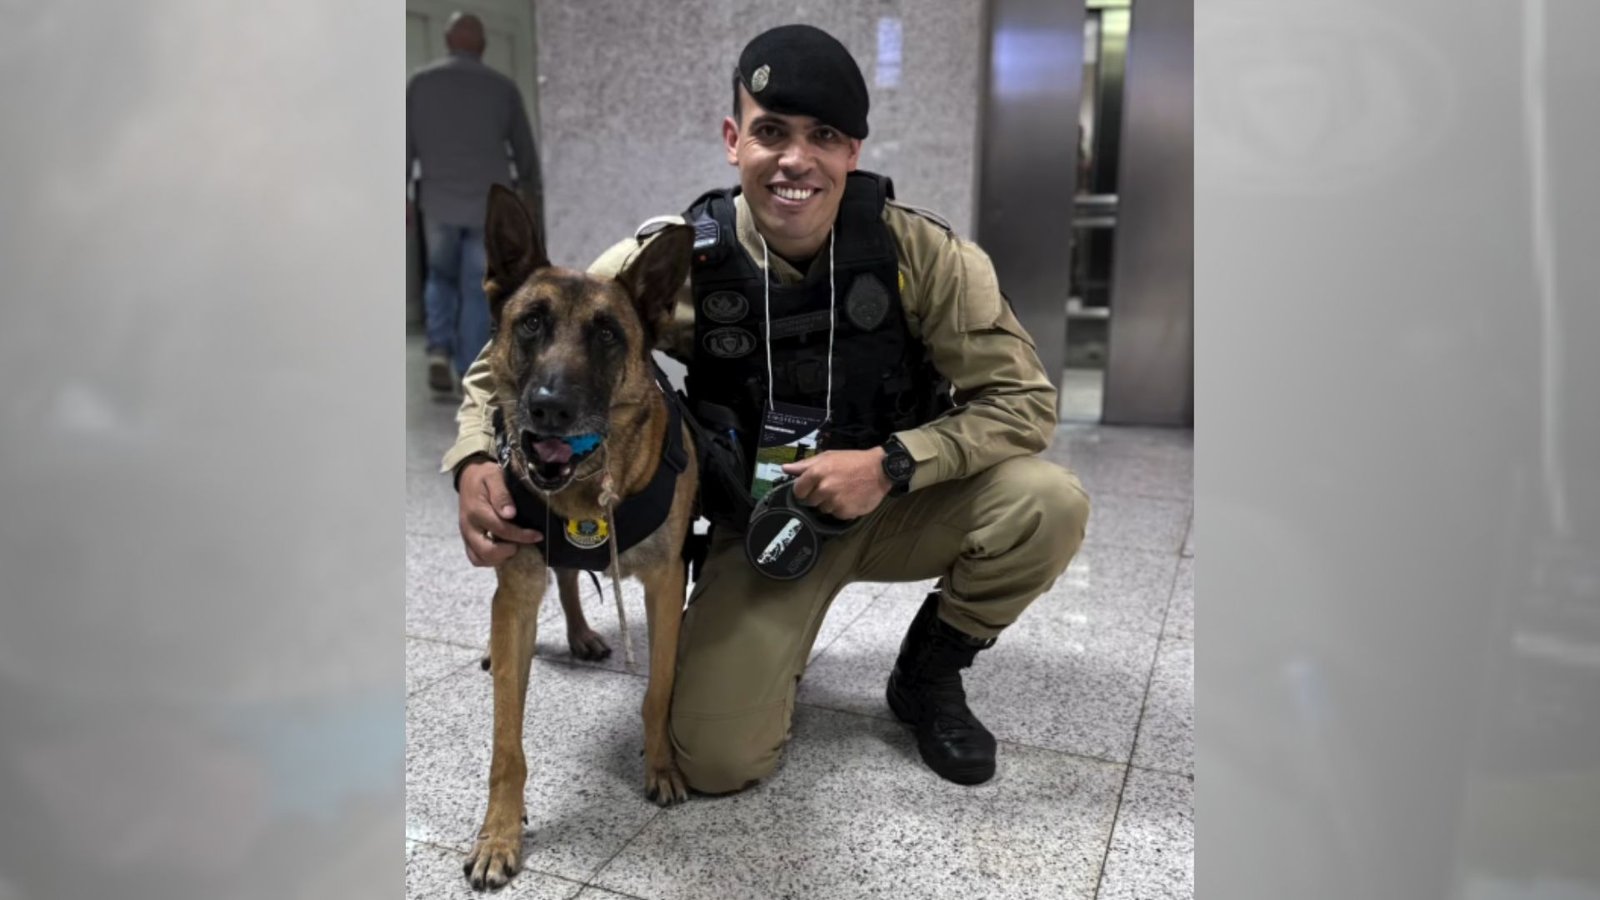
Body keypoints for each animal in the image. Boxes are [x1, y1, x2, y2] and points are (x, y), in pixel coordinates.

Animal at [463, 185, 698, 890]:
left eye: (607, 333)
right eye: (530, 323)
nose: (548, 409)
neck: (583, 495)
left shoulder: (664, 583)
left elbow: (658, 691)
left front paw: (661, 767)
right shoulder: (515, 589)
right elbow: (506, 743)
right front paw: (499, 834)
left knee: (568, 574)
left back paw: (581, 632)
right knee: (553, 580)